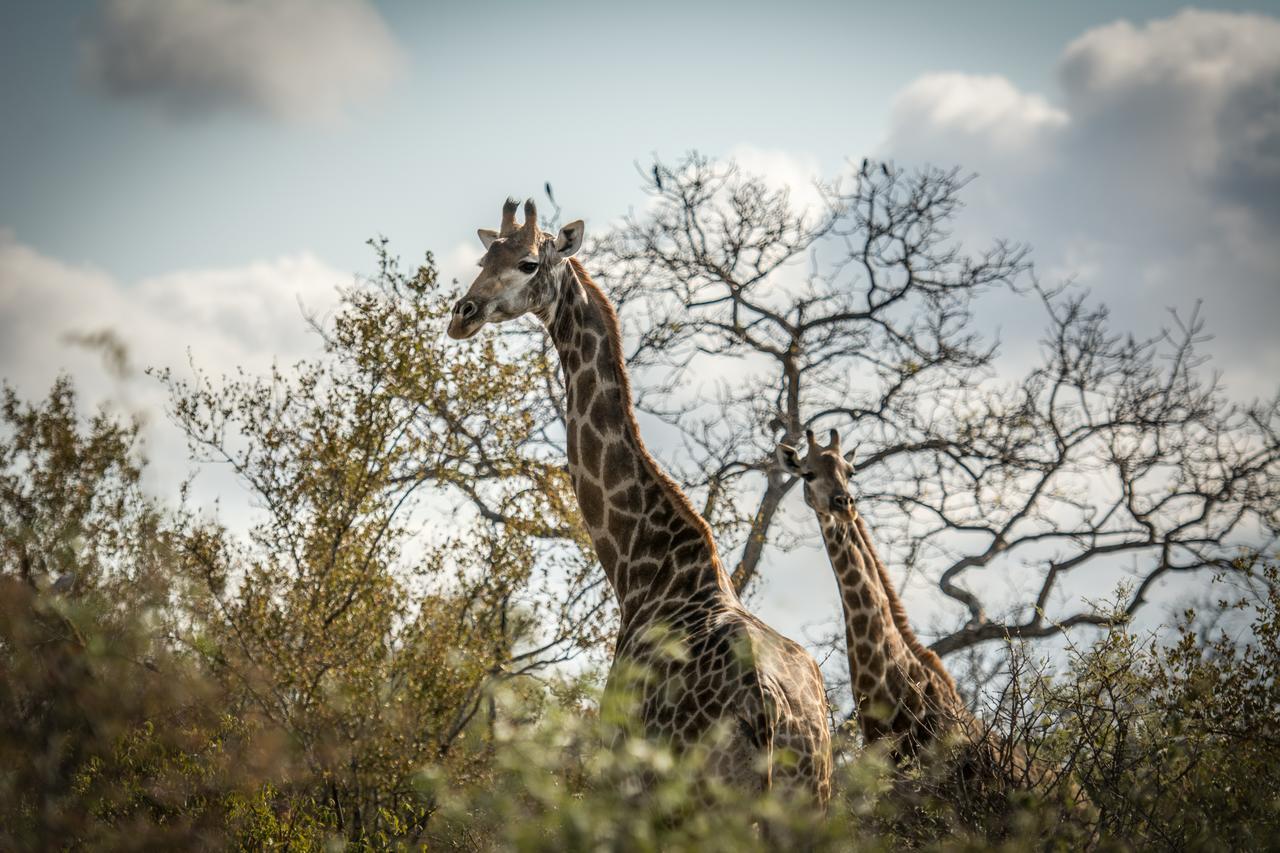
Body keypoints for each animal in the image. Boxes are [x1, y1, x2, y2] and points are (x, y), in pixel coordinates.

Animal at [448, 197, 829, 804]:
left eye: (529, 263)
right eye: (487, 256)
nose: (462, 314)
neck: (643, 567)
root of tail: (770, 710)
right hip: (814, 795)